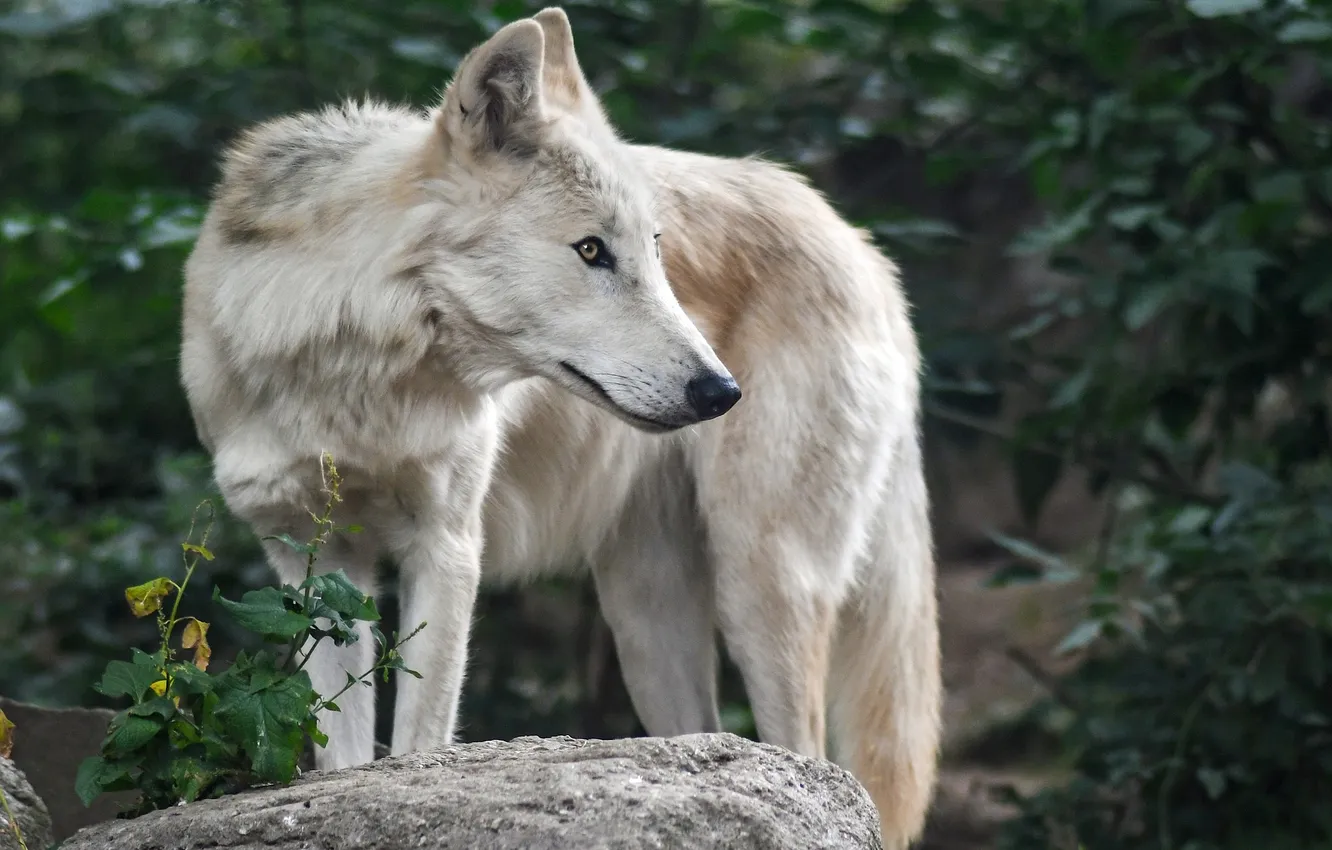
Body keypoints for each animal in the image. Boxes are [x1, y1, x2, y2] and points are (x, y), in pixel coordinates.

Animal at [180, 8, 738, 791]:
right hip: (646, 622)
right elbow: (343, 748)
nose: (721, 391)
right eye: (592, 250)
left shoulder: (446, 544)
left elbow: (420, 733)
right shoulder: (310, 561)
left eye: (655, 249)